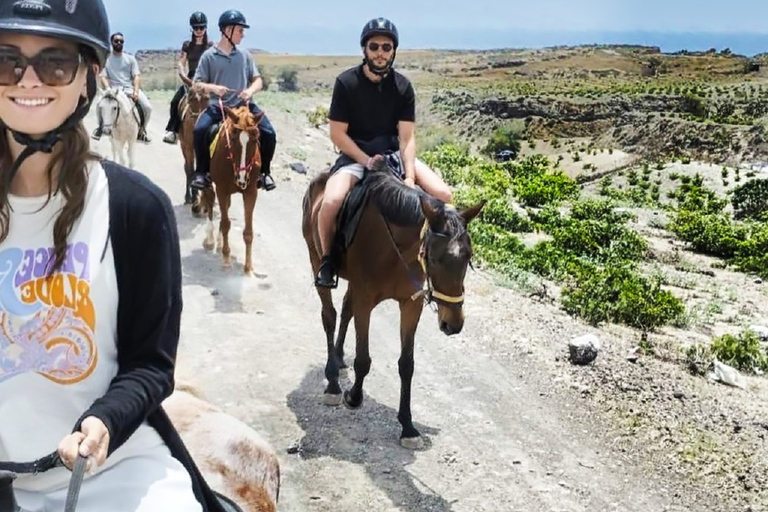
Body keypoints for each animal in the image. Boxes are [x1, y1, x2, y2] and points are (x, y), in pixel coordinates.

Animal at [302, 158, 486, 450]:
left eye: (468, 257)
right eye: (434, 259)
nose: (453, 323)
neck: (395, 250)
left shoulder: (410, 306)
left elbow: (407, 365)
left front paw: (408, 427)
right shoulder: (366, 300)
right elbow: (363, 358)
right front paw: (353, 396)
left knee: (345, 309)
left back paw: (340, 358)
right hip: (315, 257)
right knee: (329, 315)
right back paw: (332, 382)